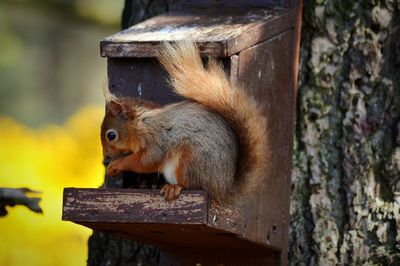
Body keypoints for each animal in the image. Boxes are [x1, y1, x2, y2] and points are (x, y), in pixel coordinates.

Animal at [100, 41, 268, 204]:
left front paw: (118, 164)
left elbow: (147, 160)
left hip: (190, 159)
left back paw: (174, 188)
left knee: (191, 184)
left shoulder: (155, 138)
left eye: (111, 135)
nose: (106, 158)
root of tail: (224, 189)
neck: (139, 123)